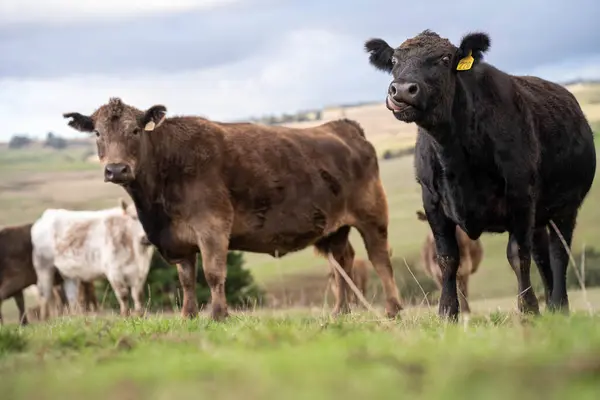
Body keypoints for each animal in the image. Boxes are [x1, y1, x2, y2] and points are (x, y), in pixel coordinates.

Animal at [62, 98, 404, 320]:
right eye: (97, 133)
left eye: (135, 130)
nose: (116, 169)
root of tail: (343, 126)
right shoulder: (178, 241)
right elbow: (187, 280)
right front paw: (188, 317)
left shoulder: (212, 226)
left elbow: (213, 274)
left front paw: (218, 314)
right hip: (333, 227)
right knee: (341, 262)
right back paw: (340, 312)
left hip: (372, 215)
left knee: (380, 259)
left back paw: (392, 309)